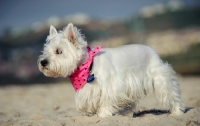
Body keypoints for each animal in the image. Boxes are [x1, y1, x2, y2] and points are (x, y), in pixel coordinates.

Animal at [38, 23, 185, 117]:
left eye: (59, 51)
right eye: (46, 51)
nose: (43, 62)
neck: (88, 65)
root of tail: (154, 51)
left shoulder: (109, 86)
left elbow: (106, 100)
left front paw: (103, 115)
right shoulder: (88, 90)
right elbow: (83, 104)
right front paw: (90, 111)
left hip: (160, 79)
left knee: (172, 95)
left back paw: (176, 113)